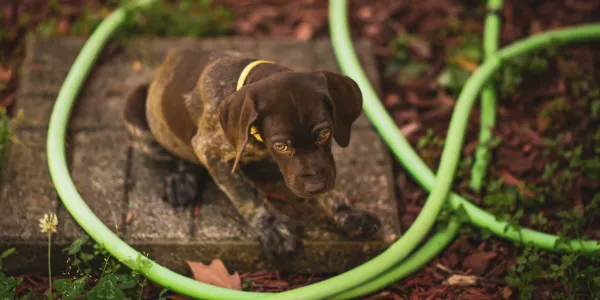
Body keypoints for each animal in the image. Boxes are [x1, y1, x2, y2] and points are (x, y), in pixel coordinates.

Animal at [124, 48, 382, 258]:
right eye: (282, 146)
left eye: (324, 133)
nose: (315, 187)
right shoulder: (211, 151)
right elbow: (247, 194)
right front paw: (273, 227)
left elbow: (331, 183)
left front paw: (347, 213)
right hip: (137, 113)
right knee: (180, 155)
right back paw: (181, 181)